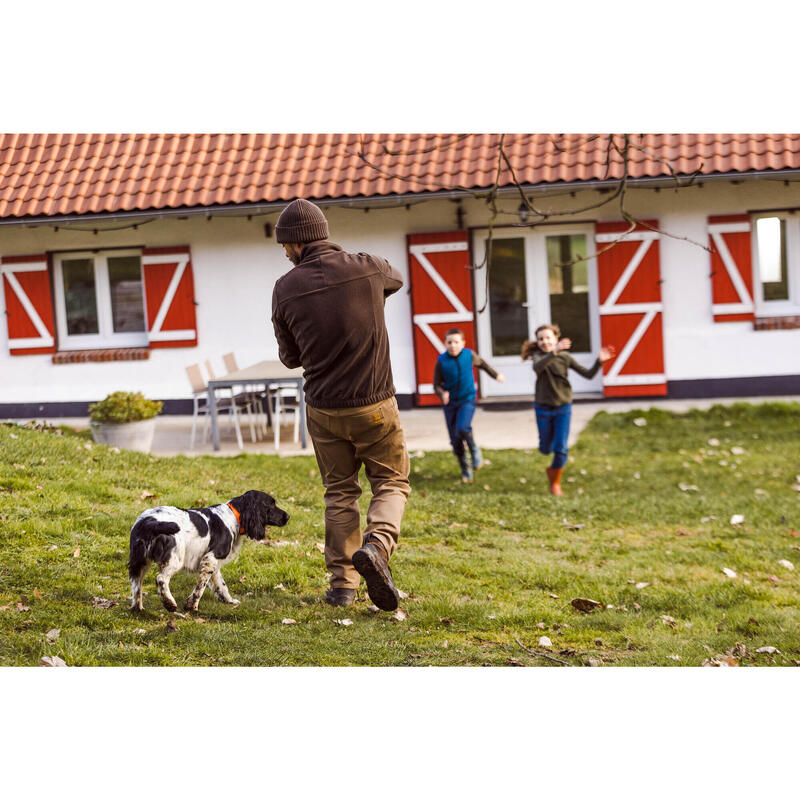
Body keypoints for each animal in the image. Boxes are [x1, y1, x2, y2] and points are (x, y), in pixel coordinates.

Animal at [125, 488, 288, 612]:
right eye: (271, 504)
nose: (288, 516)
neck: (234, 516)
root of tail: (149, 521)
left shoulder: (214, 564)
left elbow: (221, 585)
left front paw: (229, 601)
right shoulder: (211, 558)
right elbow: (200, 587)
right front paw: (192, 606)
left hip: (139, 561)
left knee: (136, 585)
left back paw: (138, 609)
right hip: (174, 559)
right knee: (161, 579)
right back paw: (170, 604)